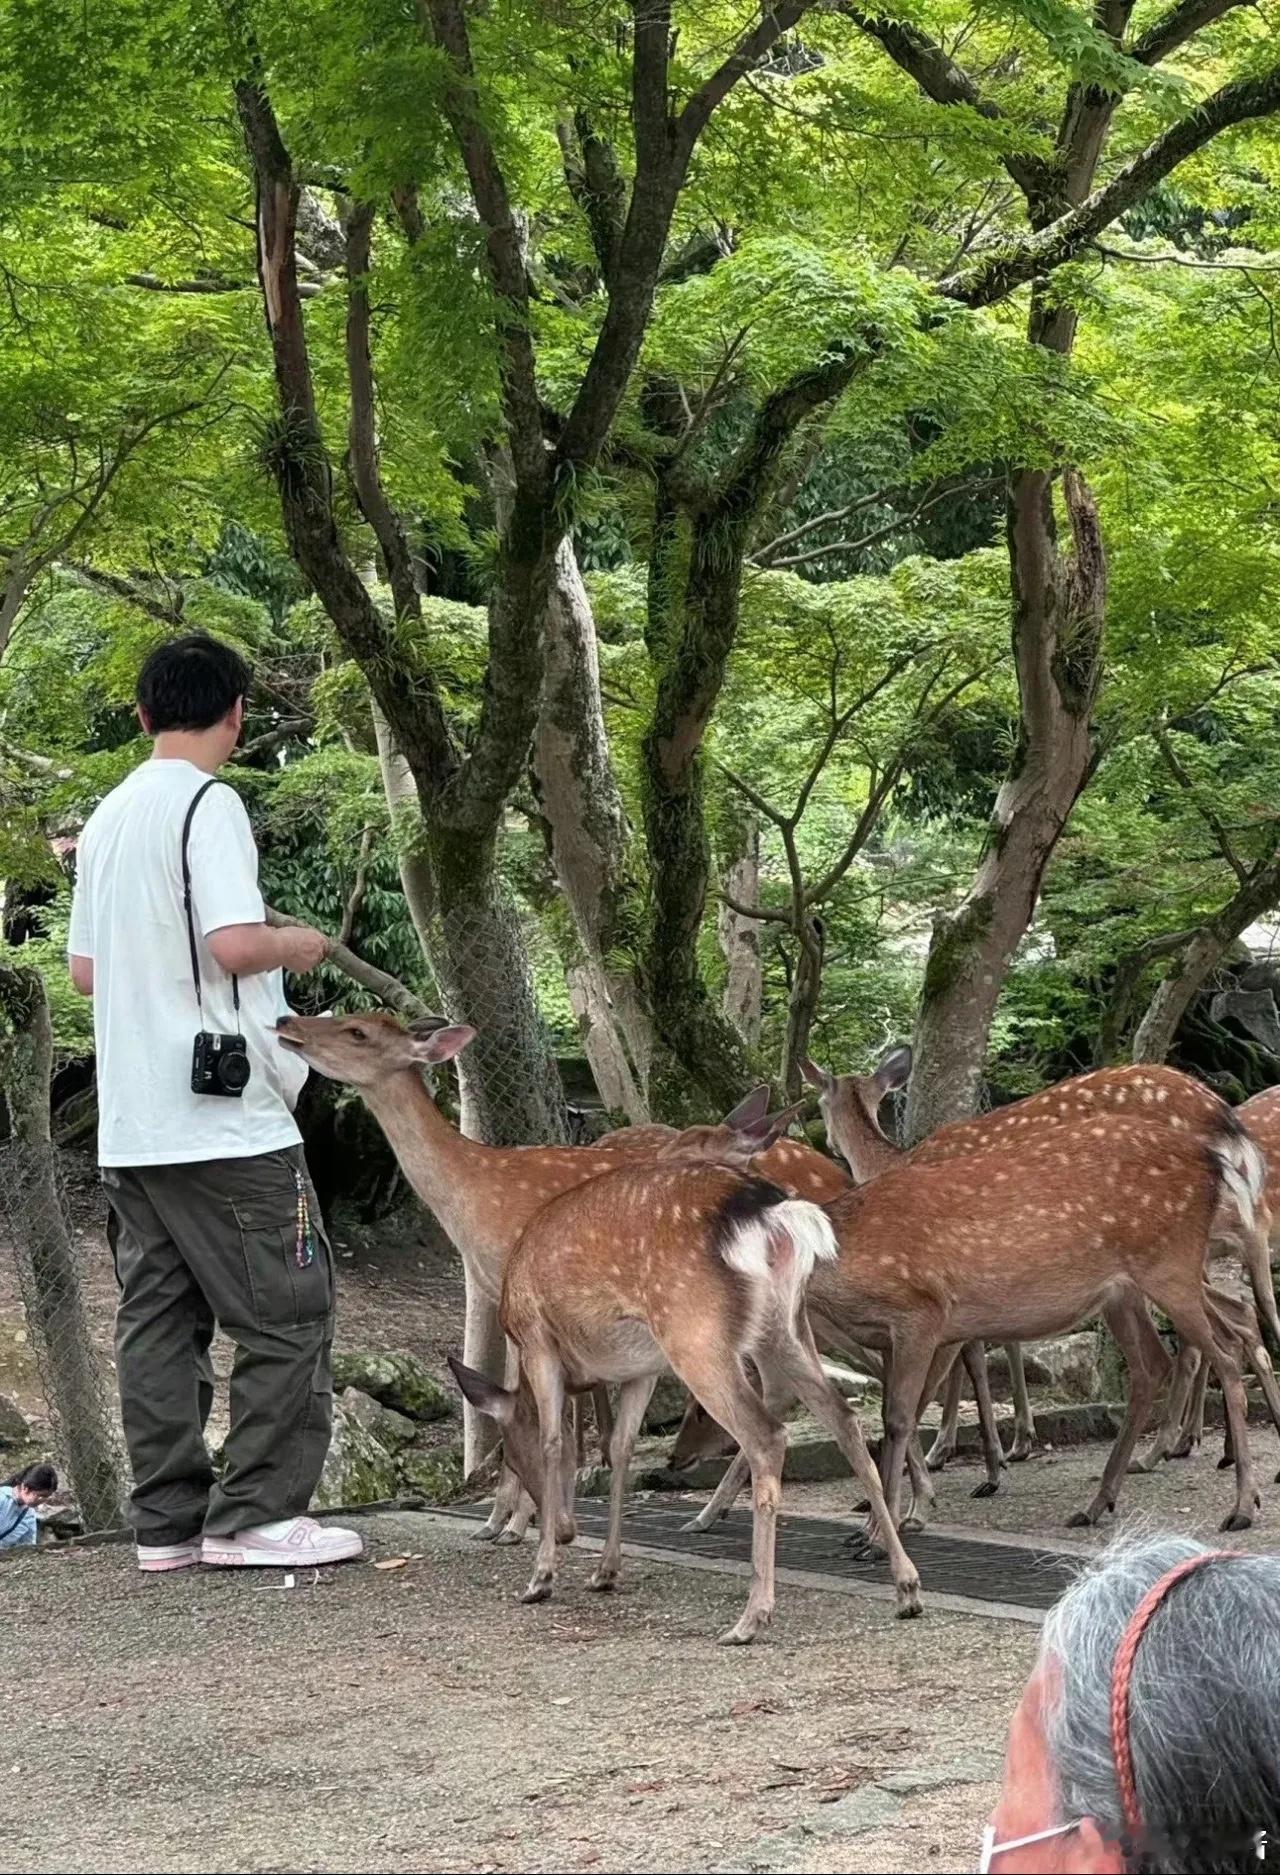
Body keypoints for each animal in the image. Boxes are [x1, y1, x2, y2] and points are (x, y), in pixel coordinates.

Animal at [447, 1139, 924, 1643]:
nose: (562, 1532)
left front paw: (541, 1577)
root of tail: (776, 1216)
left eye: (512, 1461)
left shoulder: (538, 1340)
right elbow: (620, 1448)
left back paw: (751, 1616)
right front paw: (605, 1571)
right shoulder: (640, 1369)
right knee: (844, 1419)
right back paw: (906, 1586)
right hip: (788, 1326)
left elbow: (555, 1442)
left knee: (767, 1435)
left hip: (695, 1330)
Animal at [688, 1110, 1268, 1547]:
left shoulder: (921, 1313)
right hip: (1126, 1290)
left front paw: (883, 1531)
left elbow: (899, 1418)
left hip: (1168, 1264)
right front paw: (882, 1521)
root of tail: (1214, 1161)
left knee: (1224, 1351)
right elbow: (890, 1418)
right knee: (1161, 1360)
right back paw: (1098, 1502)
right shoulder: (893, 1336)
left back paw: (1241, 1505)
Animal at [802, 1046, 1279, 1478]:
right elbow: (996, 1345)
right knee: (1238, 1314)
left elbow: (965, 1359)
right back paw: (1212, 1446)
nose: (827, 1144)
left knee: (1214, 1328)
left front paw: (962, 1453)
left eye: (819, 1103)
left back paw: (1165, 1449)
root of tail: (1224, 1117)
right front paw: (1009, 1445)